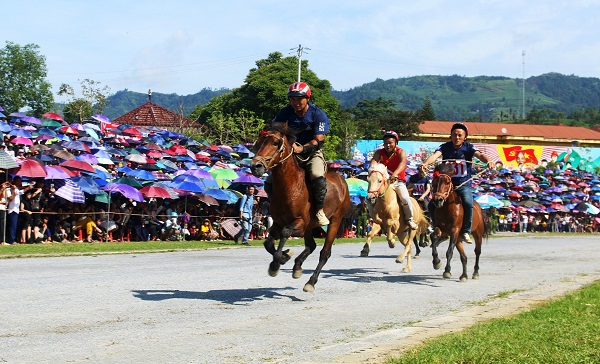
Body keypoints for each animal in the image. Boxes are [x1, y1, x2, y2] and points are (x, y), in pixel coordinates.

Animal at [250, 123, 352, 292]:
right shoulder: (278, 223)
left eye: (275, 143)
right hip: (311, 227)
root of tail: (342, 180)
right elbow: (268, 243)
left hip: (335, 221)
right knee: (311, 245)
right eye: (258, 143)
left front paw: (277, 262)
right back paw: (297, 266)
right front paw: (285, 256)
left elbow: (285, 233)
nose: (255, 166)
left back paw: (311, 282)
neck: (289, 187)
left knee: (325, 252)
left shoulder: (299, 223)